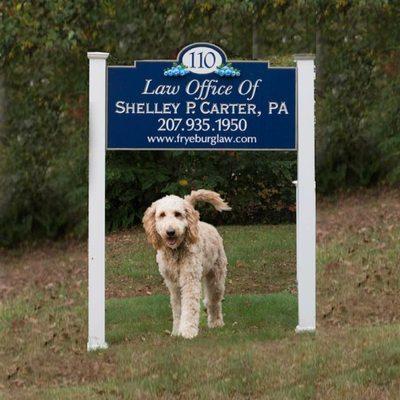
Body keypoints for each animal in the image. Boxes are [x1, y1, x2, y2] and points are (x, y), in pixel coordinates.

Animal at [143, 190, 231, 338]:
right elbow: (178, 309)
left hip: (216, 277)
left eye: (178, 214)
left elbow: (190, 306)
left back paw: (216, 322)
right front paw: (176, 332)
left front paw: (188, 331)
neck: (176, 252)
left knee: (214, 301)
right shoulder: (173, 284)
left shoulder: (189, 279)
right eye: (162, 215)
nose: (170, 232)